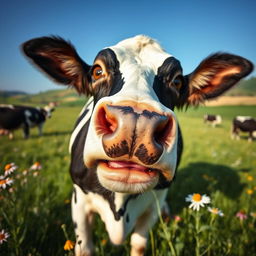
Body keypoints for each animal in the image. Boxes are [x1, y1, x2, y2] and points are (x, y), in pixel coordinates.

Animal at [22, 34, 254, 256]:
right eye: (97, 70)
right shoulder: (79, 200)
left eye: (177, 81)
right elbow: (85, 248)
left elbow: (139, 244)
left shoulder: (154, 203)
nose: (136, 122)